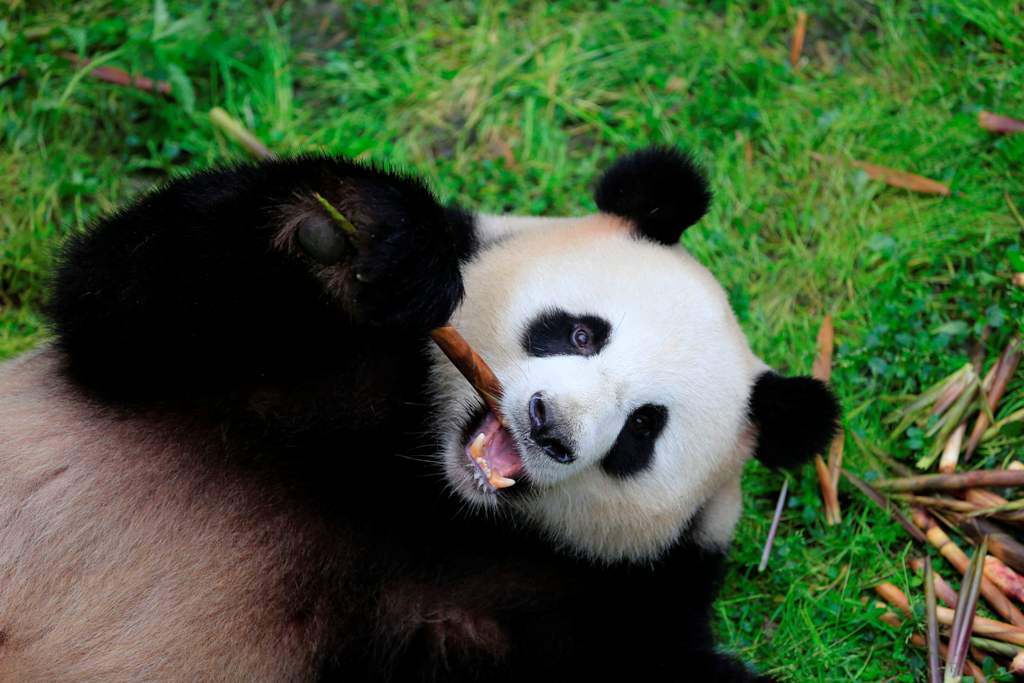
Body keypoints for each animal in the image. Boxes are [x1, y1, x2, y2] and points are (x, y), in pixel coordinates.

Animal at [0, 147, 838, 682]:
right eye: (579, 332)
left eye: (642, 429)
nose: (549, 427)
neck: (426, 487)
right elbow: (125, 306)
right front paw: (360, 238)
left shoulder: (590, 610)